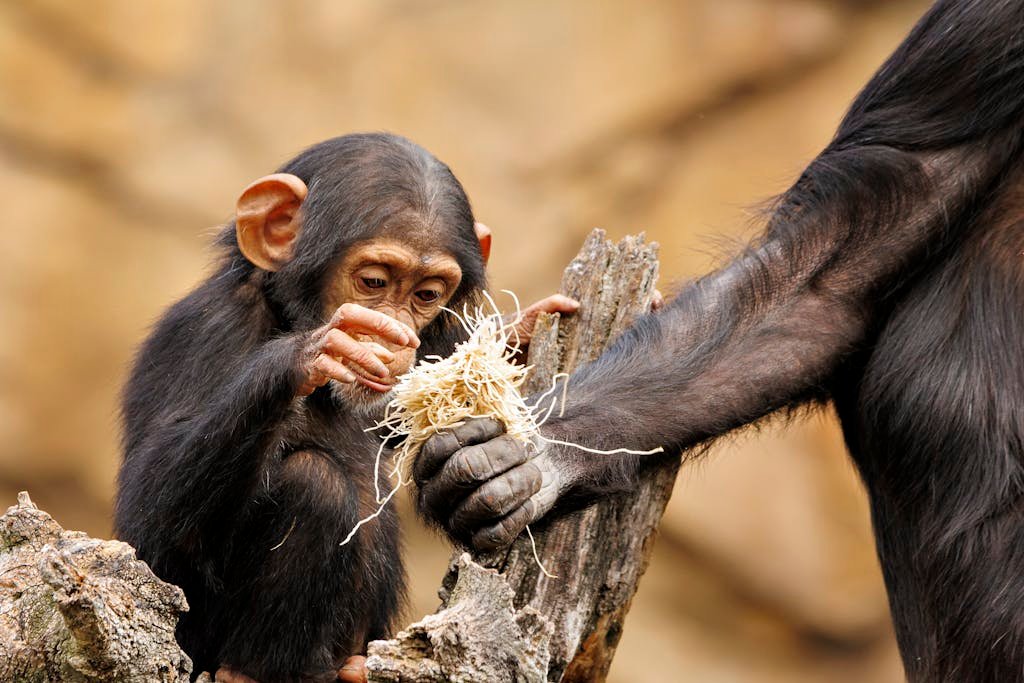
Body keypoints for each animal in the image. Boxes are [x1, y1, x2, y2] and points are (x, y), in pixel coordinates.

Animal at [114, 132, 576, 682]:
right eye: (374, 282)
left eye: (426, 294)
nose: (395, 333)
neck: (282, 312)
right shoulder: (207, 330)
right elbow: (151, 538)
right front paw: (314, 351)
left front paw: (518, 335)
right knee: (315, 484)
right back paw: (248, 672)